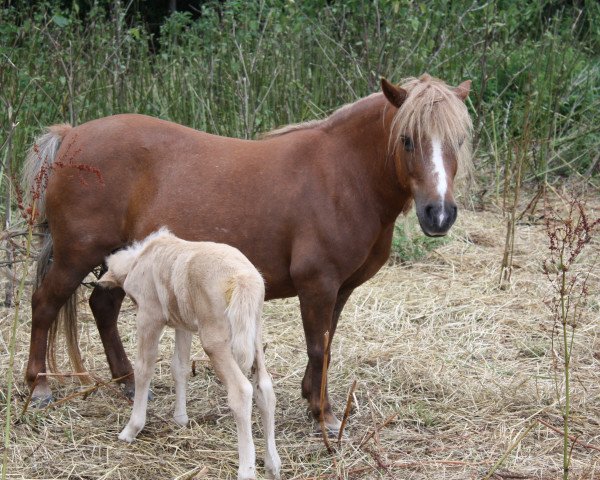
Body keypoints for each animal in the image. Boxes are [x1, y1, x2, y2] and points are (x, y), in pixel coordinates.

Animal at [23, 73, 472, 434]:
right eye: (407, 139)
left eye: (460, 140)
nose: (439, 213)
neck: (342, 176)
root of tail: (72, 135)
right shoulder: (318, 284)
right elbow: (317, 346)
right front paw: (324, 413)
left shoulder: (339, 289)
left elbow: (327, 345)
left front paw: (311, 397)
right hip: (76, 255)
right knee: (44, 304)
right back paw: (39, 386)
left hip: (121, 258)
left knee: (102, 307)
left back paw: (129, 382)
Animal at [99, 229, 282, 480]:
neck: (141, 258)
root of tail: (243, 280)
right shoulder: (182, 323)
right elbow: (180, 367)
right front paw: (180, 419)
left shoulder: (149, 316)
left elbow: (144, 367)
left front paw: (131, 429)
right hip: (254, 333)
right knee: (264, 387)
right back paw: (273, 464)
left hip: (215, 340)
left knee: (241, 391)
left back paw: (246, 470)